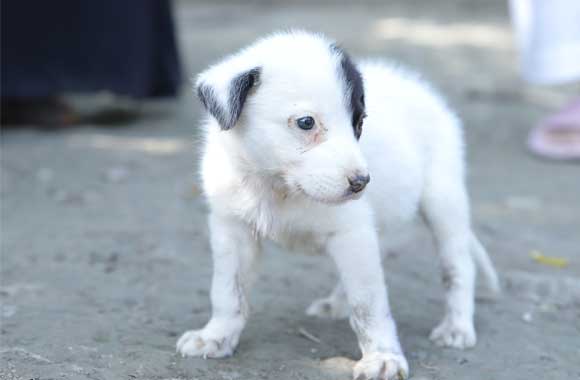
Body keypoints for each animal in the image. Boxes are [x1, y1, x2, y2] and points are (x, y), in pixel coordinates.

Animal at [177, 31, 498, 380]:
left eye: (359, 122)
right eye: (306, 123)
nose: (361, 182)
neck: (279, 186)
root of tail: (418, 87)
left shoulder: (352, 232)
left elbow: (368, 303)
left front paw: (382, 357)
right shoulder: (232, 228)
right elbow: (227, 291)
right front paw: (216, 336)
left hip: (443, 198)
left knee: (458, 265)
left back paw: (457, 326)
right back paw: (336, 304)